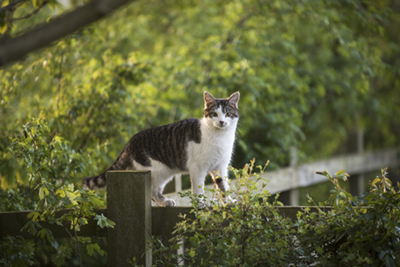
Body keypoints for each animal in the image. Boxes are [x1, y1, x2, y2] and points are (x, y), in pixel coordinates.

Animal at [81, 92, 238, 207]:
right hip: (158, 170)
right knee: (151, 191)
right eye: (214, 114)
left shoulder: (221, 166)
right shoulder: (198, 168)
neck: (220, 137)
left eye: (228, 114)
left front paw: (228, 201)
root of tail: (131, 141)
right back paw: (165, 201)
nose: (222, 122)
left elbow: (223, 185)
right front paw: (200, 205)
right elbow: (198, 189)